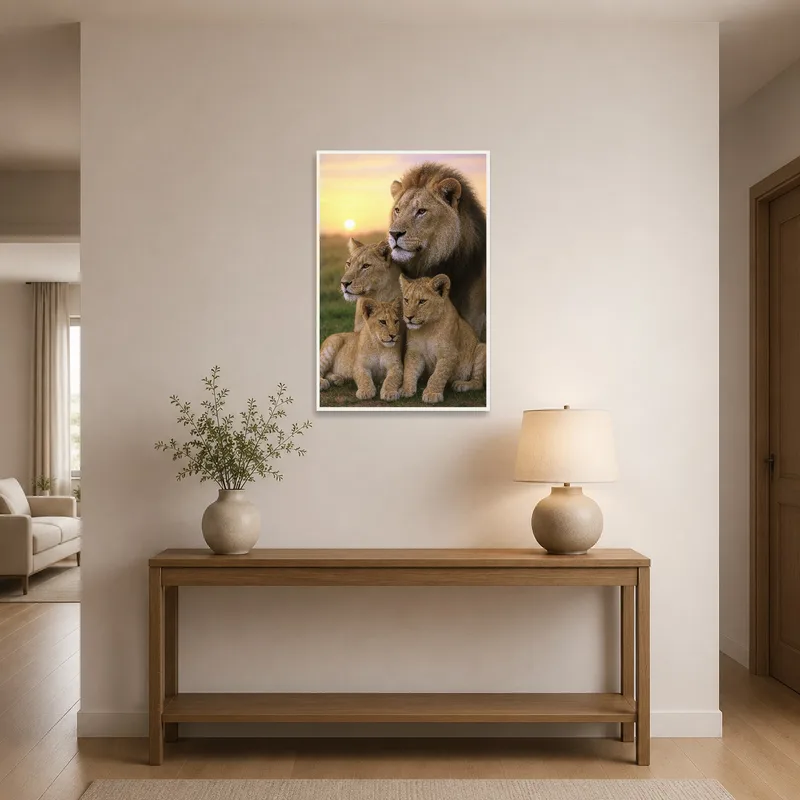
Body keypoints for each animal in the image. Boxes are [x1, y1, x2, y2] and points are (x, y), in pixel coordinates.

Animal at [399, 273, 486, 404]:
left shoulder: (449, 353)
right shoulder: (414, 352)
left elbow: (438, 375)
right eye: (406, 300)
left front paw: (432, 394)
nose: (408, 317)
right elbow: (409, 370)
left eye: (422, 301)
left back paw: (461, 384)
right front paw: (405, 389)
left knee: (479, 382)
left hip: (481, 348)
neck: (426, 329)